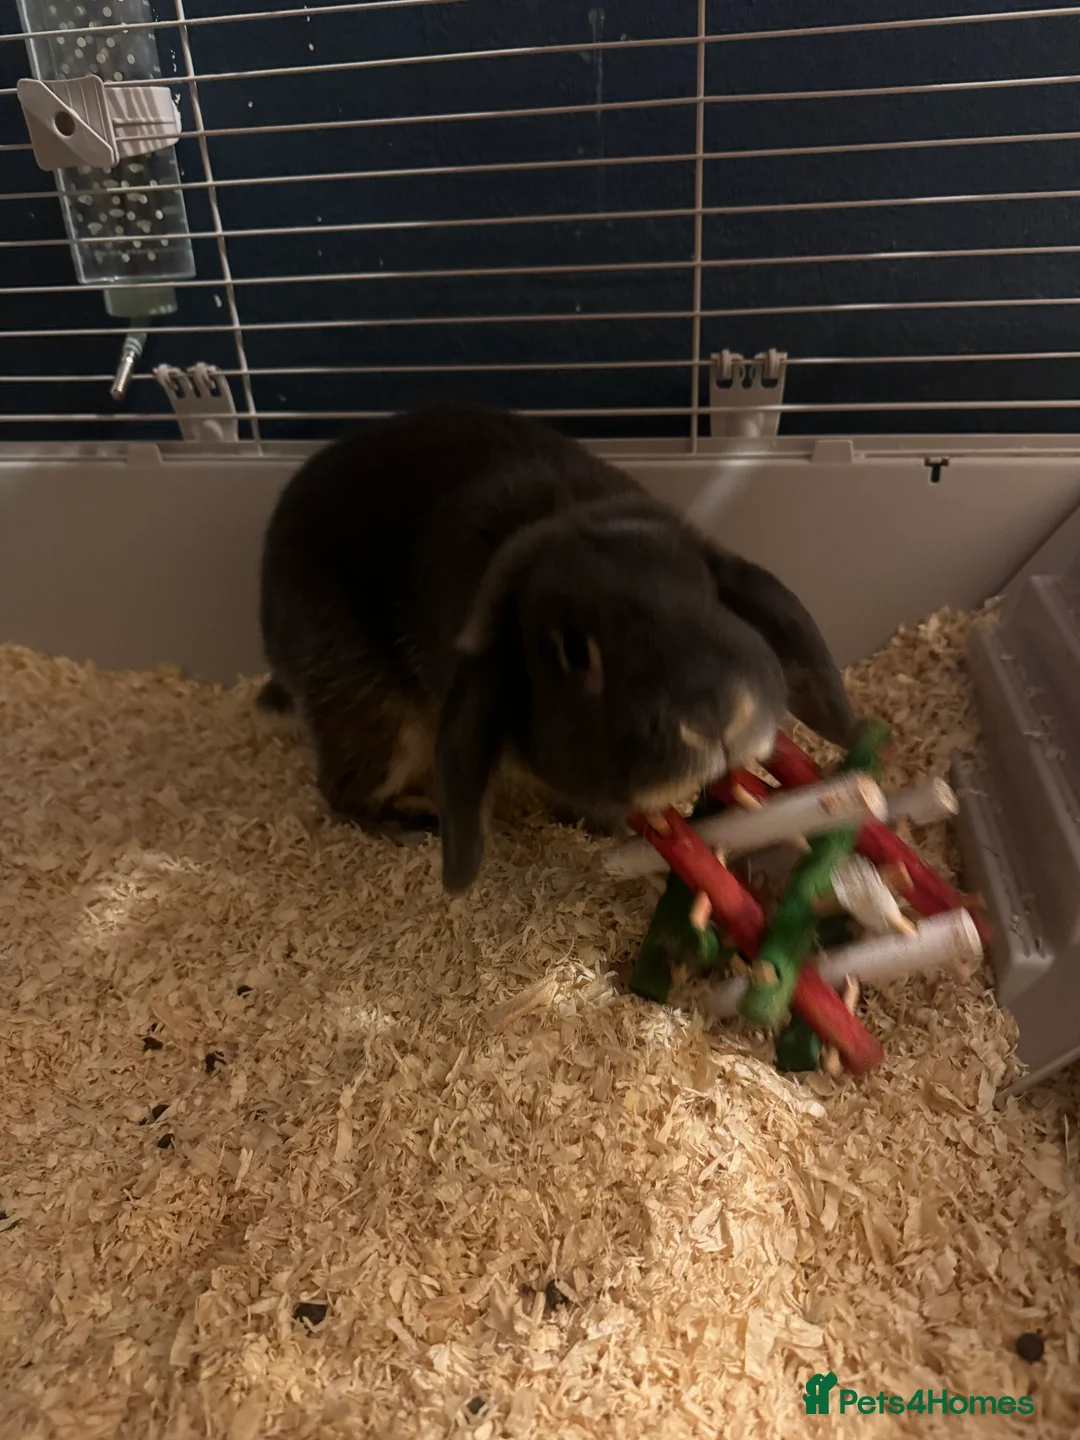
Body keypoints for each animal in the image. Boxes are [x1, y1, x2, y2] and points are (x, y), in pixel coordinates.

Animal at [257, 406, 856, 892]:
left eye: (709, 594)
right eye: (573, 653)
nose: (713, 720)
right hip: (376, 718)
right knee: (343, 791)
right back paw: (414, 821)